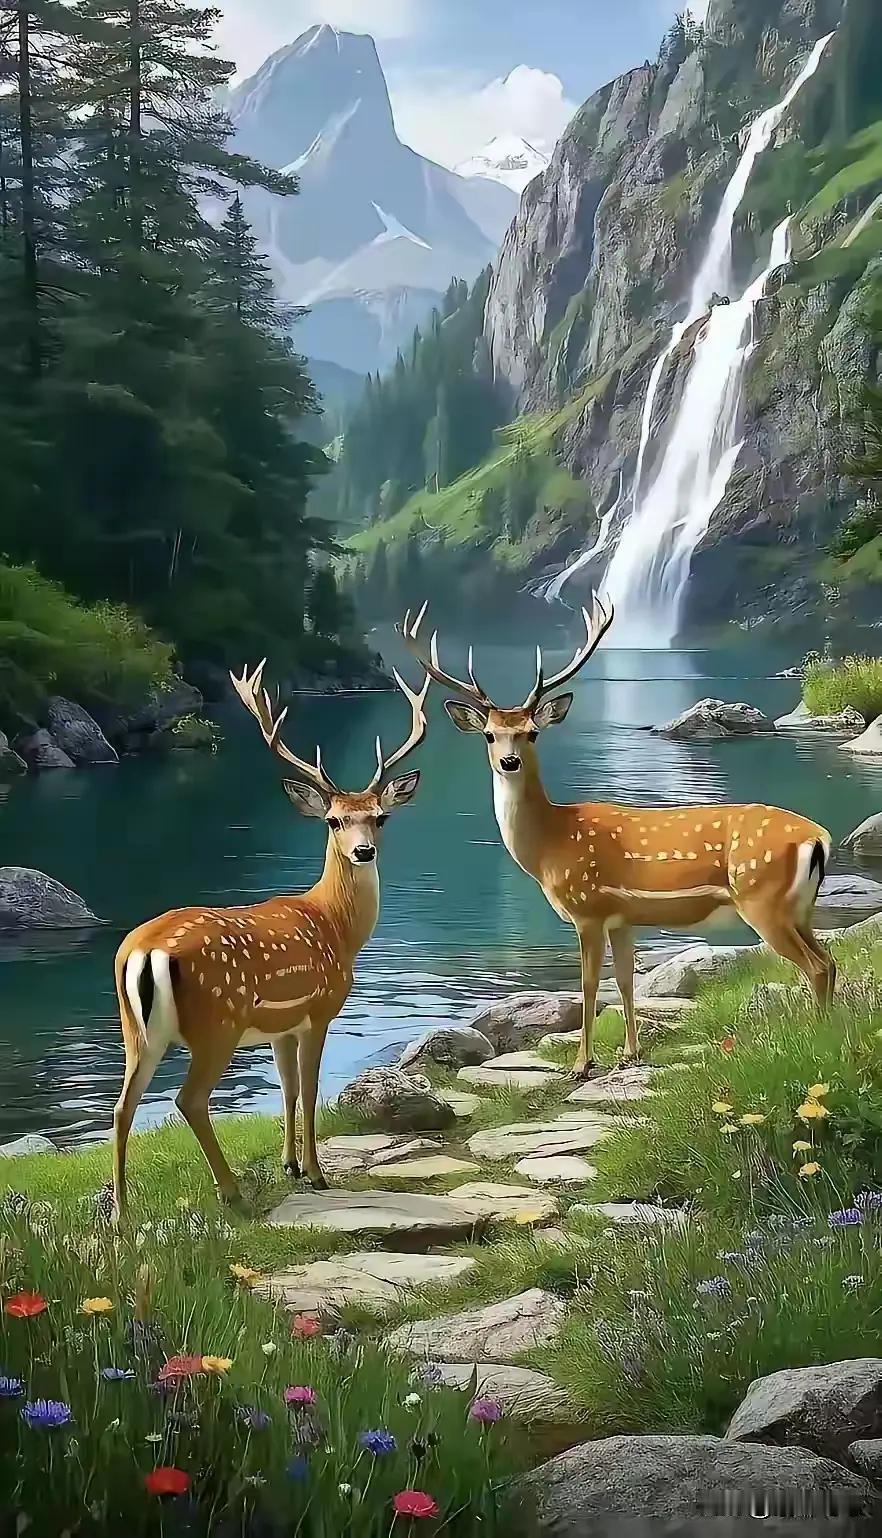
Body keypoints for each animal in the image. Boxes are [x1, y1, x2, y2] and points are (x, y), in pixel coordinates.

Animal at [110, 661, 430, 1221]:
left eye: (380, 816)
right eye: (334, 819)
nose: (364, 851)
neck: (335, 925)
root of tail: (144, 951)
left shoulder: (281, 1026)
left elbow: (286, 1088)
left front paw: (290, 1165)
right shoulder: (320, 1007)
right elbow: (310, 1088)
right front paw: (317, 1172)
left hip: (136, 1029)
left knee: (123, 1105)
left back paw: (122, 1215)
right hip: (217, 1021)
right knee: (188, 1099)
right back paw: (230, 1192)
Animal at [401, 595, 835, 1079]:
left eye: (532, 732)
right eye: (490, 734)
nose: (509, 762)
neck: (551, 844)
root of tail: (819, 838)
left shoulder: (587, 907)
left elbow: (589, 984)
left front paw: (582, 1064)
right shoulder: (623, 916)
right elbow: (625, 980)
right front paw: (630, 1053)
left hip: (762, 897)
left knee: (816, 966)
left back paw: (819, 1036)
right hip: (799, 907)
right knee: (830, 960)